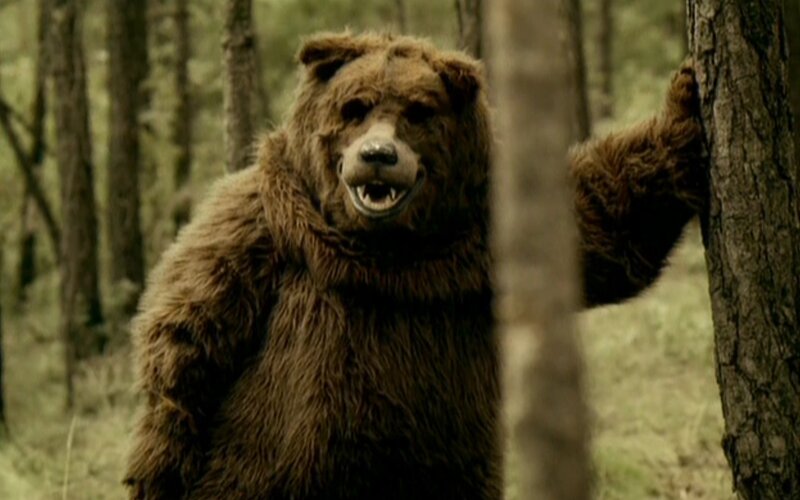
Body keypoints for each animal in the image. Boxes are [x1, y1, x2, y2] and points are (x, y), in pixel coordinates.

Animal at [124, 32, 705, 499]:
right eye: (355, 107)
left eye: (418, 112)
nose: (378, 155)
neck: (386, 252)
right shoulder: (261, 225)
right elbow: (189, 332)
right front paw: (159, 467)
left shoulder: (488, 236)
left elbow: (607, 216)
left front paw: (686, 97)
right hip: (257, 463)